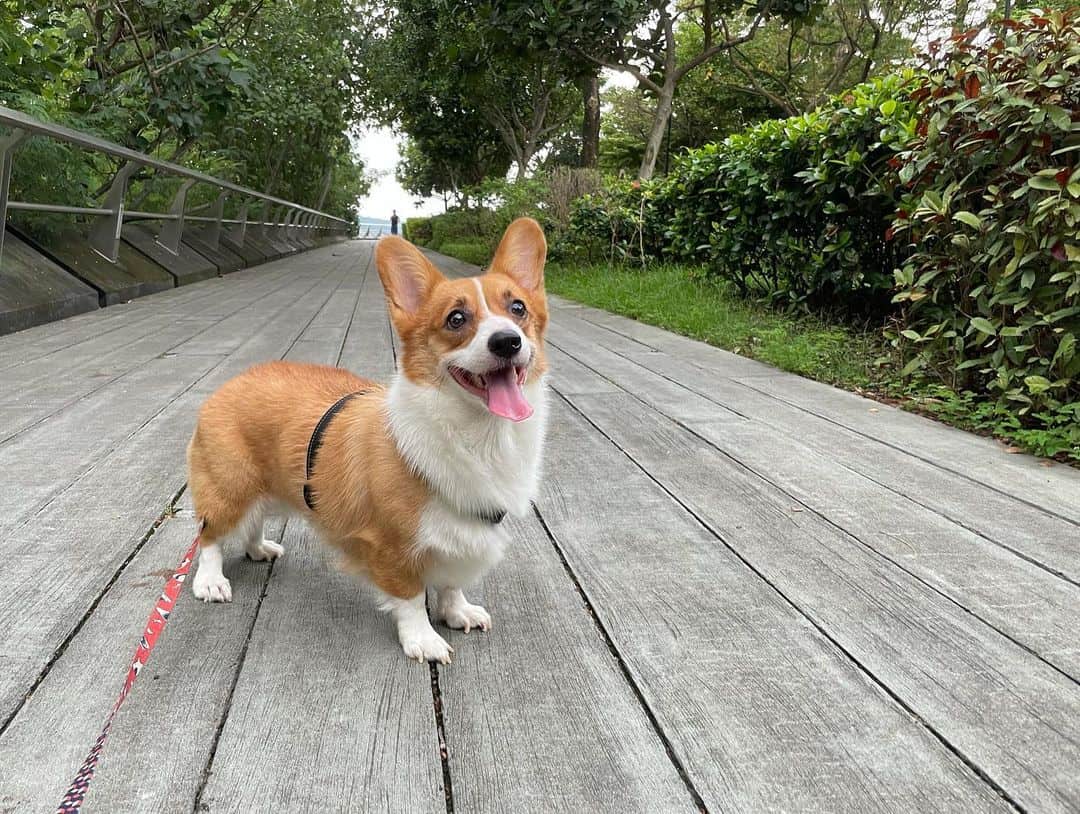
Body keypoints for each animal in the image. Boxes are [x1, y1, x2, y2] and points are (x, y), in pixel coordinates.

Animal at [184, 215, 548, 660]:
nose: (508, 341)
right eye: (456, 319)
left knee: (252, 524)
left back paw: (259, 549)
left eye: (518, 309)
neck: (479, 436)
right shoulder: (393, 546)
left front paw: (458, 610)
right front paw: (423, 638)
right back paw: (210, 581)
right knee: (209, 535)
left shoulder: (461, 538)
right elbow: (411, 597)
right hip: (230, 489)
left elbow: (450, 583)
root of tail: (230, 383)